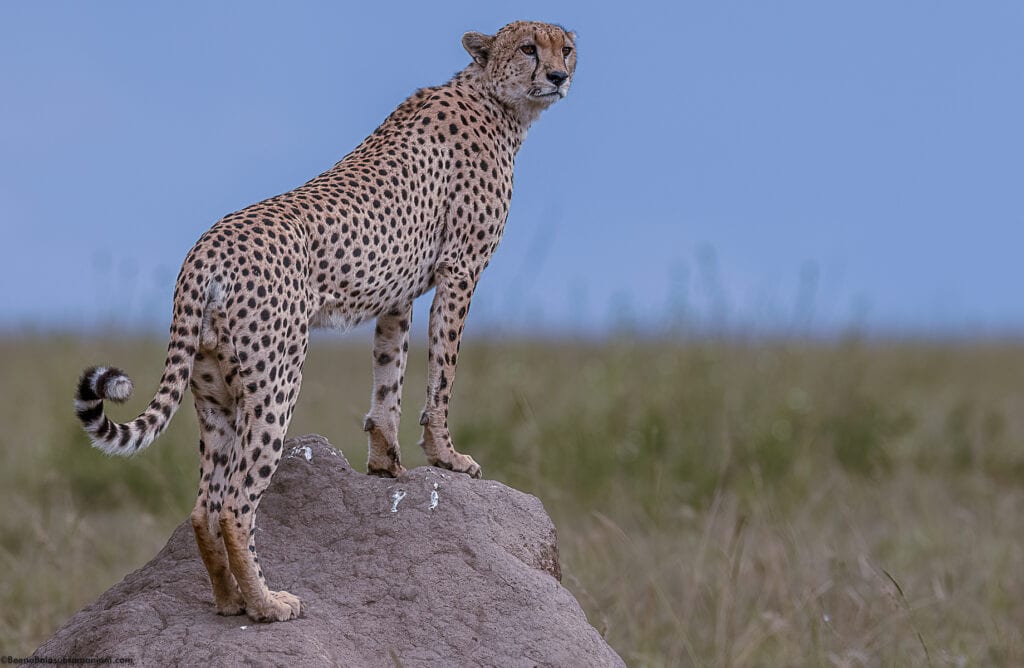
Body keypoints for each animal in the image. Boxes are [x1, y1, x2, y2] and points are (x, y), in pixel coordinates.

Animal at [74, 22, 577, 627]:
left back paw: (228, 601)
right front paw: (447, 457)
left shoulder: (397, 294)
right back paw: (266, 605)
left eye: (566, 48)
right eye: (528, 48)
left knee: (204, 506)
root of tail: (205, 249)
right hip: (276, 380)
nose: (559, 76)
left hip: (214, 389)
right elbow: (443, 372)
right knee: (235, 505)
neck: (497, 101)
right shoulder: (460, 271)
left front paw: (386, 463)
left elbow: (389, 376)